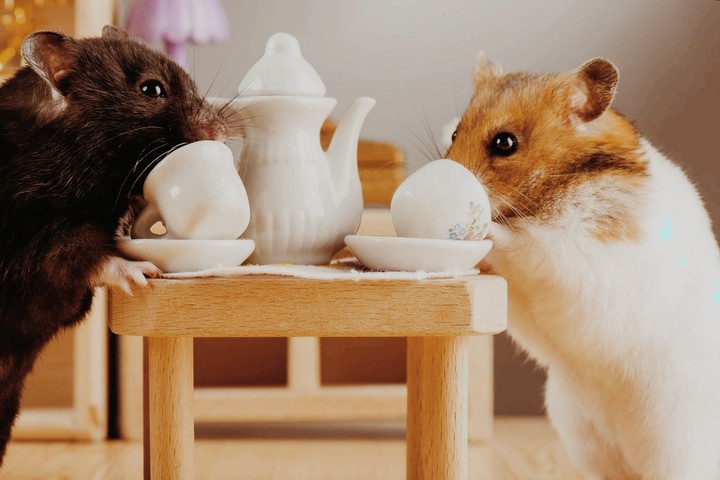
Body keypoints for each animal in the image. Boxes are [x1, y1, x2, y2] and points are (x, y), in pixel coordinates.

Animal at [447, 54, 720, 479]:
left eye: (504, 143)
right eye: (456, 132)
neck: (561, 182)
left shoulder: (575, 253)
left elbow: (522, 243)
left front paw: (482, 229)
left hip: (678, 442)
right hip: (579, 430)